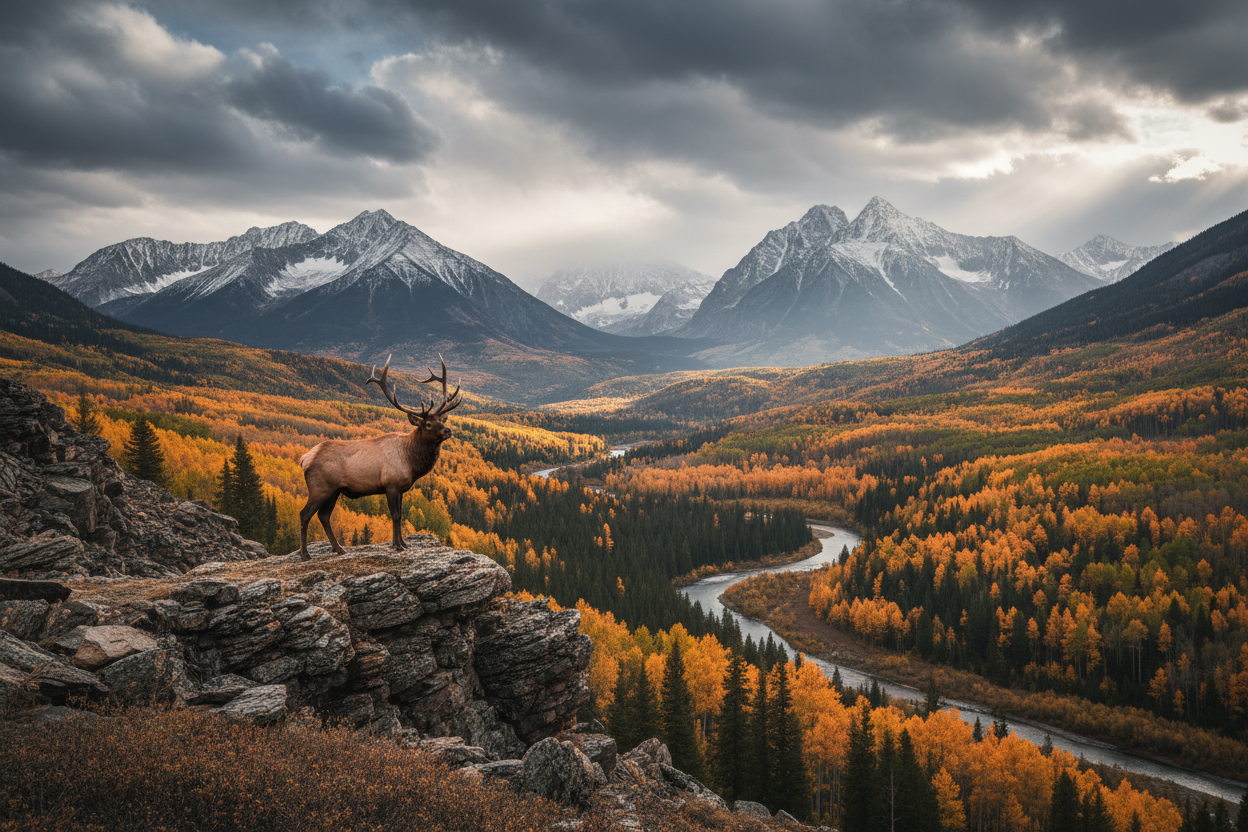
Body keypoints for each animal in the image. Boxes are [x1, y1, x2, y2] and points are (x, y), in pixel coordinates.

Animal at [297, 355, 461, 561]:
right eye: (428, 424)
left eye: (442, 419)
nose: (448, 430)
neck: (411, 463)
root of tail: (304, 459)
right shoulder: (391, 485)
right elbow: (395, 515)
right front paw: (397, 546)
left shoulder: (401, 489)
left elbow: (401, 515)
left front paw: (403, 544)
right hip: (319, 488)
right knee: (305, 514)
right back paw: (305, 554)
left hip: (334, 491)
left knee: (323, 516)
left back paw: (339, 549)